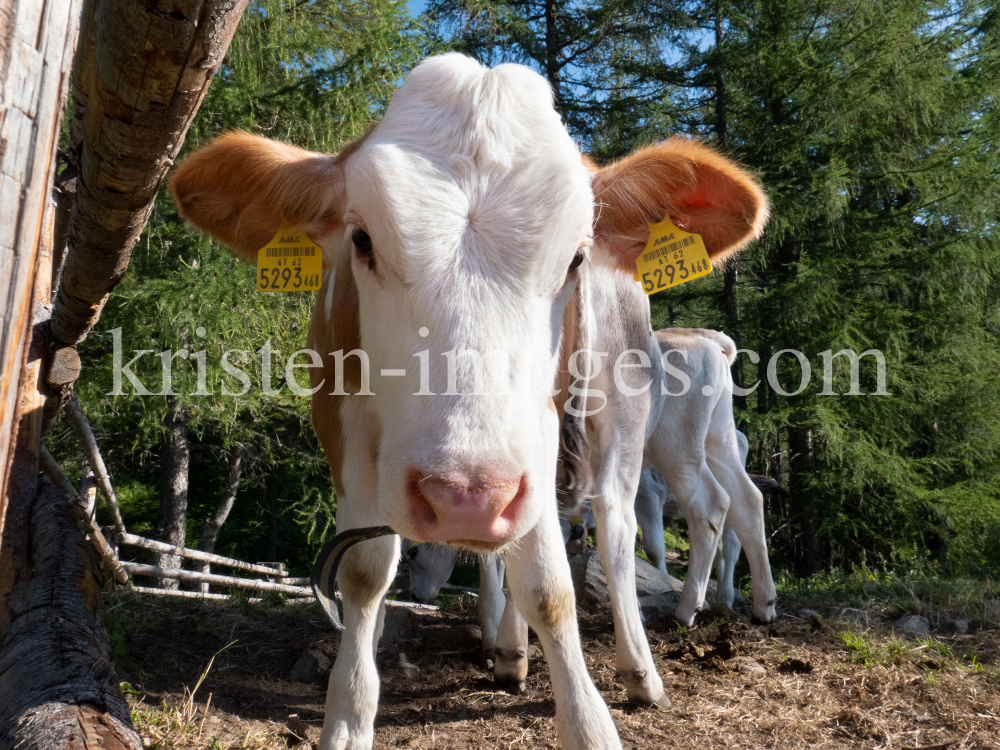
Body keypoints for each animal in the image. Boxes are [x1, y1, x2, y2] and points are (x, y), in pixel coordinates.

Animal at [170, 55, 764, 750]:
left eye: (575, 257)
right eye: (361, 240)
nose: (465, 496)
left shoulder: (537, 440)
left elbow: (550, 585)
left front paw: (588, 721)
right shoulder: (341, 425)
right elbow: (365, 571)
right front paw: (348, 713)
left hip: (625, 418)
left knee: (621, 527)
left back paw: (641, 661)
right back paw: (508, 648)